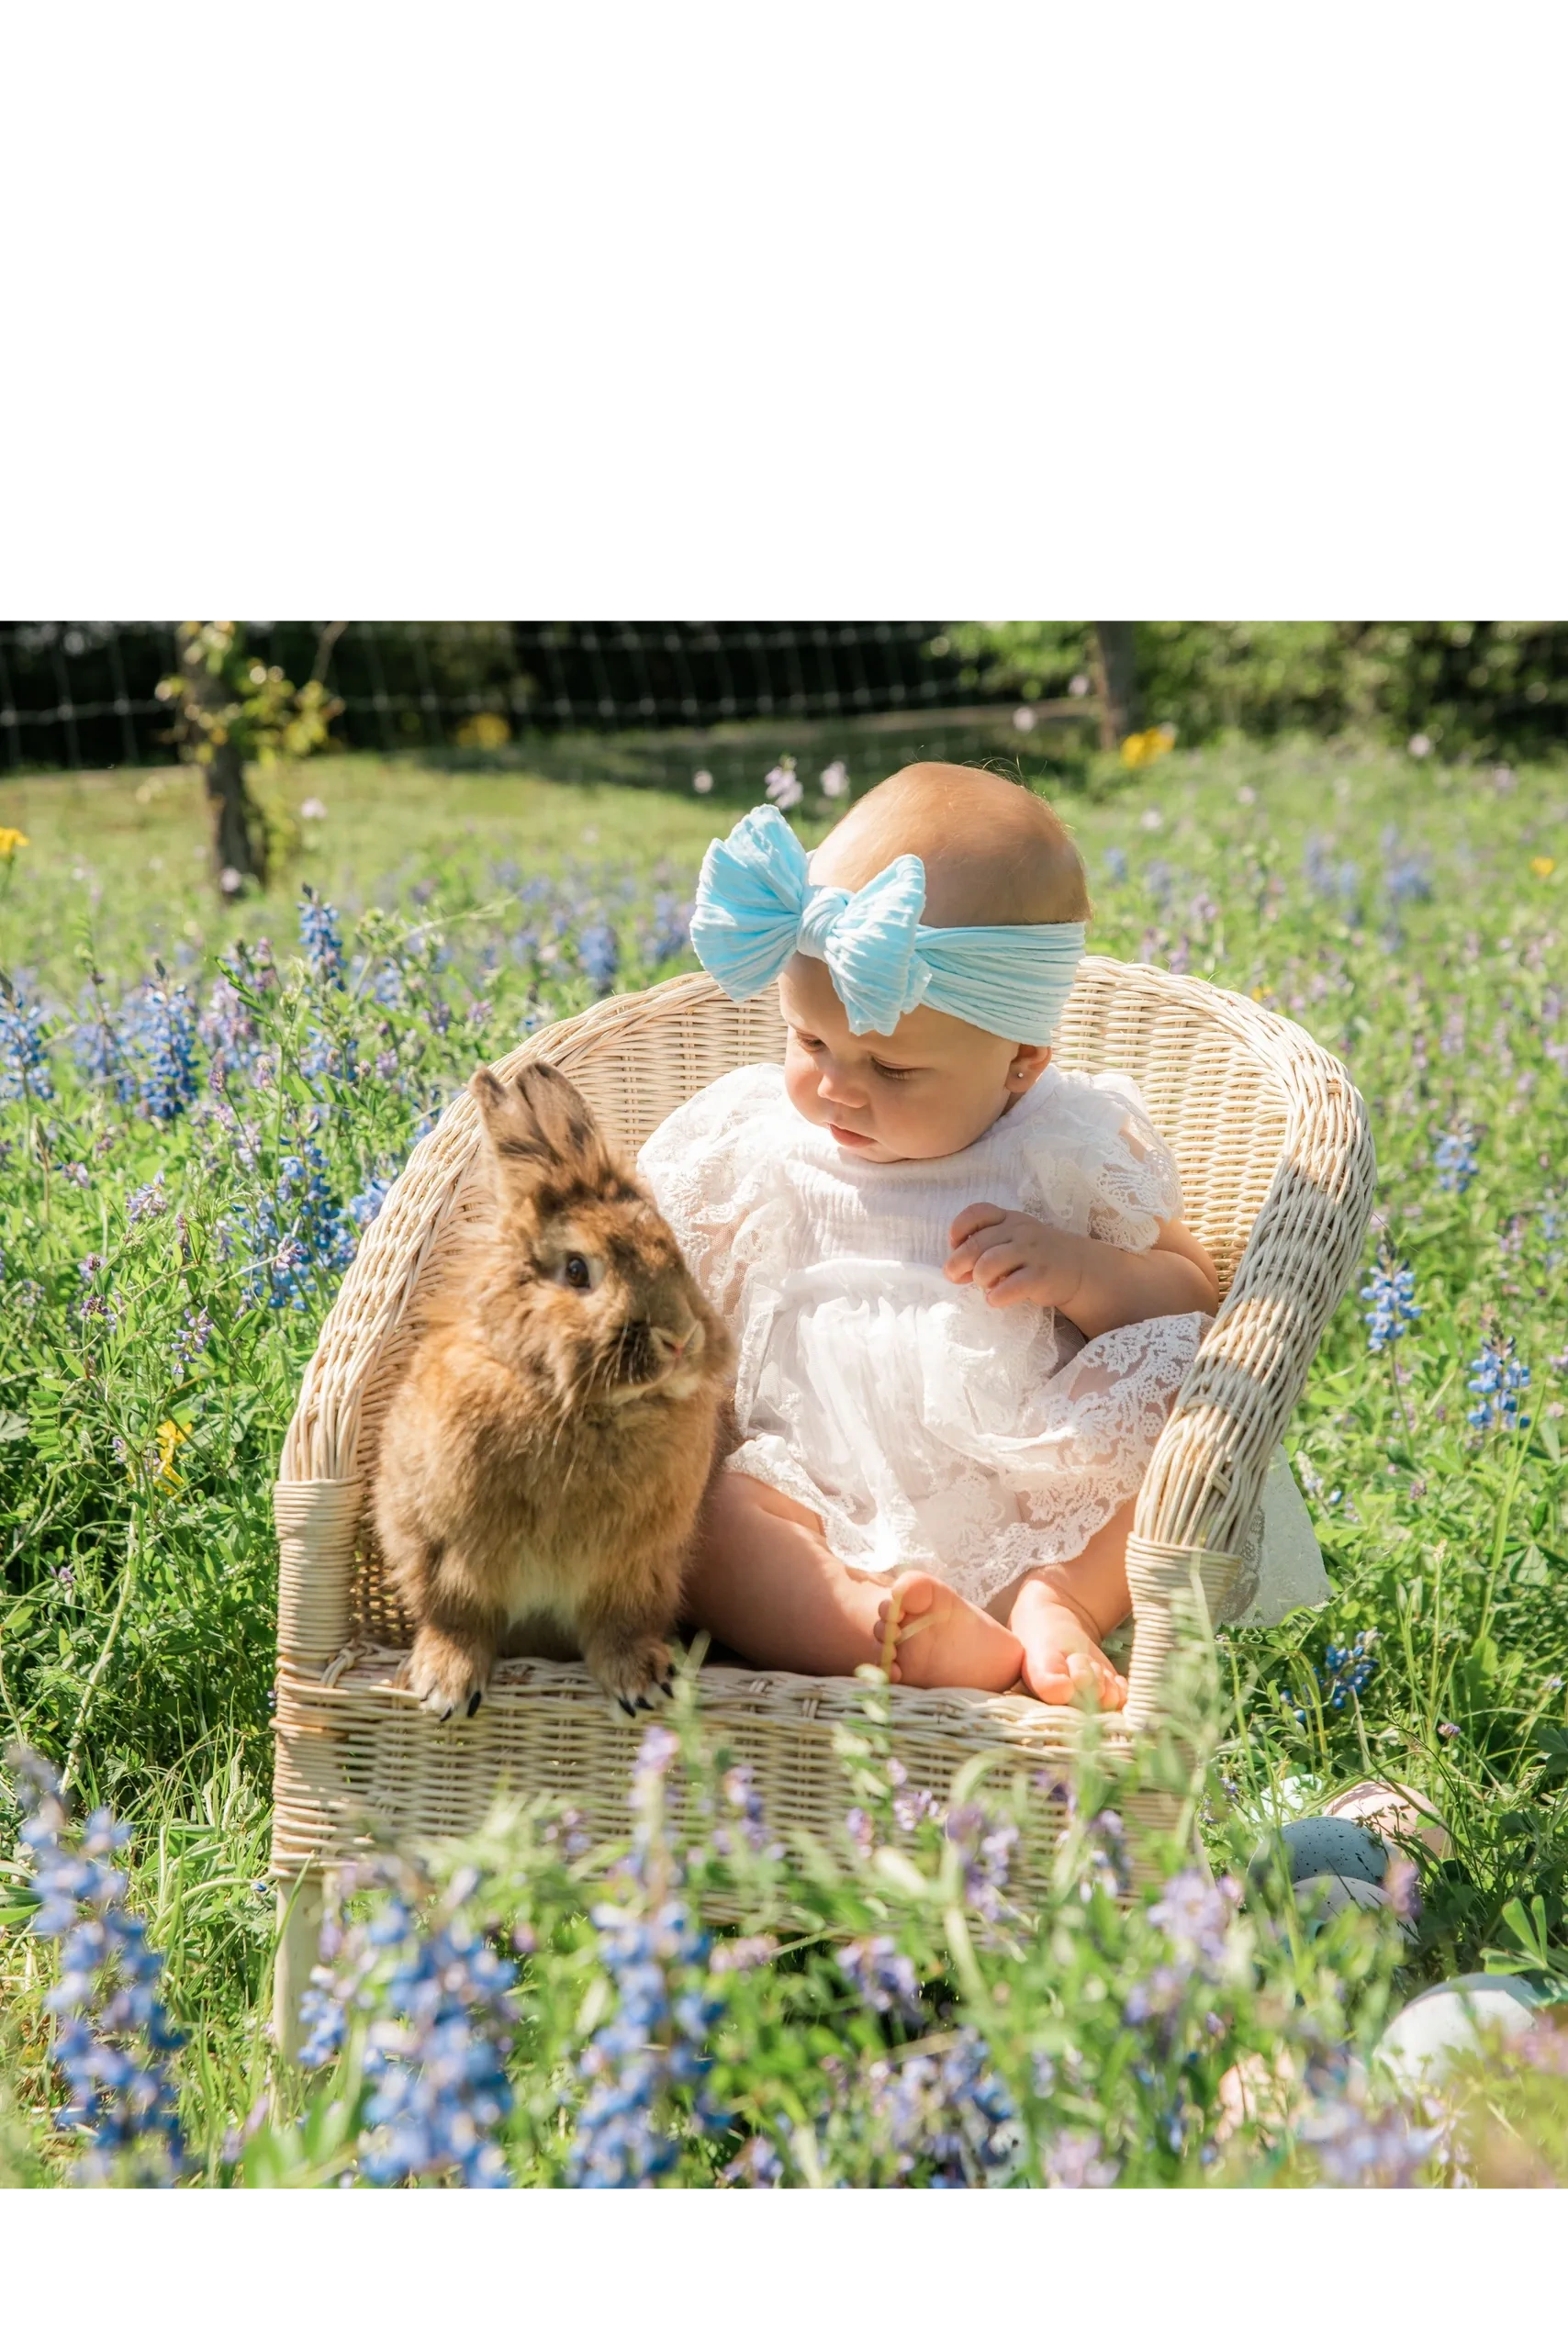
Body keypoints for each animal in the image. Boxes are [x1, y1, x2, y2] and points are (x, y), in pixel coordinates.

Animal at [374, 1067, 738, 1729]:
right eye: (575, 1271)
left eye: (671, 1248)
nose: (681, 1339)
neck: (569, 1403)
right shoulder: (442, 1552)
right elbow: (456, 1619)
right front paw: (445, 1688)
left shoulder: (634, 1571)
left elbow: (618, 1630)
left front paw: (642, 1686)